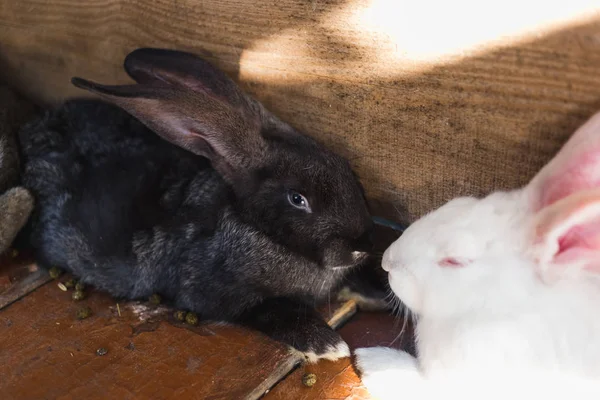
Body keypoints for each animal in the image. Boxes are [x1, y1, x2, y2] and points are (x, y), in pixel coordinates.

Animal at [19, 47, 376, 362]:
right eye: (297, 199)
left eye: (346, 169)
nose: (359, 248)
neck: (258, 230)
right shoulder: (220, 295)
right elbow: (274, 310)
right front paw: (327, 346)